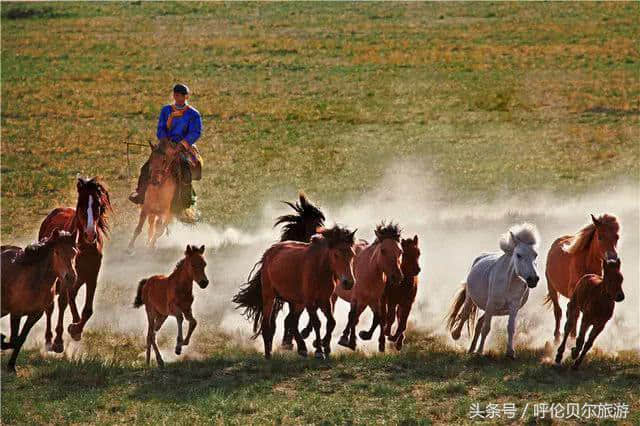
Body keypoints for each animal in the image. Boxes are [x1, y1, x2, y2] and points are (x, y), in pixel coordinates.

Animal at [1, 230, 79, 370]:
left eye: (75, 252)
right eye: (57, 252)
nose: (71, 277)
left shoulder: (35, 315)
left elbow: (20, 339)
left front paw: (11, 366)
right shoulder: (16, 313)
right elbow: (14, 339)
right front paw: (2, 340)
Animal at [38, 176, 112, 352]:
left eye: (98, 205)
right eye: (82, 204)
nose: (90, 234)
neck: (84, 248)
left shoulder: (91, 277)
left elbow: (88, 310)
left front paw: (75, 328)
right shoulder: (65, 276)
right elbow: (62, 302)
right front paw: (58, 341)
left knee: (71, 297)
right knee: (52, 305)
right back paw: (49, 339)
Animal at [234, 226, 358, 360]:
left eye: (352, 254)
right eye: (336, 254)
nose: (348, 282)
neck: (319, 268)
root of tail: (269, 253)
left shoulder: (325, 300)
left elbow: (331, 322)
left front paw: (324, 346)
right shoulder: (310, 301)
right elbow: (317, 323)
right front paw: (319, 351)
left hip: (296, 302)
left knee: (292, 322)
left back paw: (301, 348)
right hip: (269, 296)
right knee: (268, 323)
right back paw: (268, 354)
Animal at [338, 223, 402, 352]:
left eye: (400, 251)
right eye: (383, 250)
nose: (397, 277)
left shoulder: (373, 300)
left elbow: (379, 317)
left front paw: (377, 341)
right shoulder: (356, 299)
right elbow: (352, 316)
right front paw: (350, 341)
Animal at [448, 223, 544, 360]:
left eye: (535, 255)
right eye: (518, 255)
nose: (533, 279)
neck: (508, 283)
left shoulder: (513, 306)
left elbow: (510, 328)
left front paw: (510, 352)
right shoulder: (491, 304)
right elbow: (486, 328)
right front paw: (480, 351)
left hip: (493, 310)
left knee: (479, 322)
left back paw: (471, 349)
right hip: (473, 300)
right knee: (466, 314)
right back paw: (457, 336)